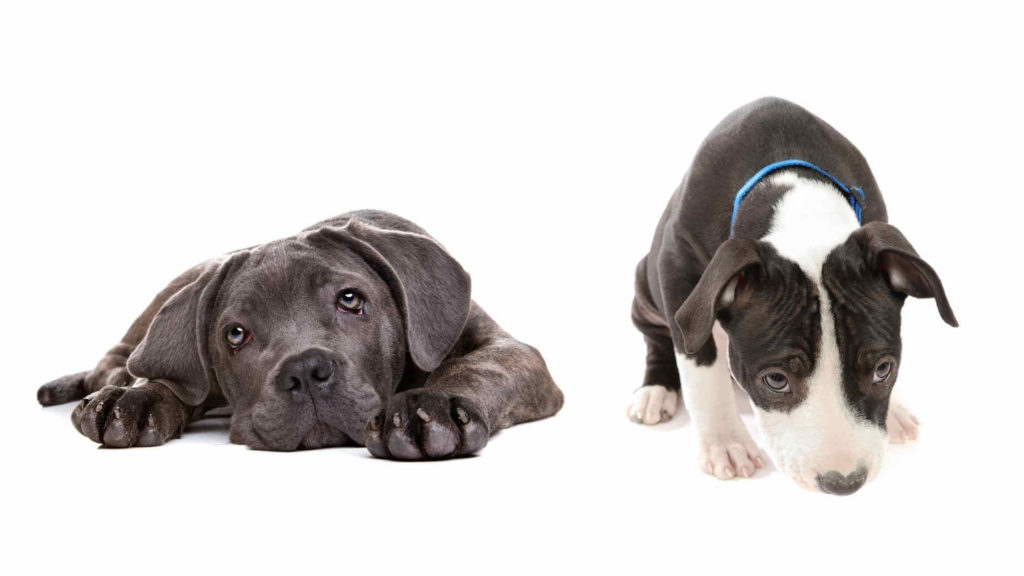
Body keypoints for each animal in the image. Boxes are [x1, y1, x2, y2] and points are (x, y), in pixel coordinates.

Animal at [39, 208, 565, 455]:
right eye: (236, 335)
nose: (306, 370)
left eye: (350, 299)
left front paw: (427, 408)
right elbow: (176, 380)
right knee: (119, 356)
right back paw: (112, 383)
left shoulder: (512, 351)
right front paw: (139, 398)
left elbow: (482, 368)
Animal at [626, 98, 954, 494]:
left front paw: (893, 412)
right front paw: (725, 443)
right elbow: (700, 364)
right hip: (646, 284)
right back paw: (656, 390)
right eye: (776, 380)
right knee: (659, 337)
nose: (844, 484)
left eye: (883, 370)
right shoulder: (678, 268)